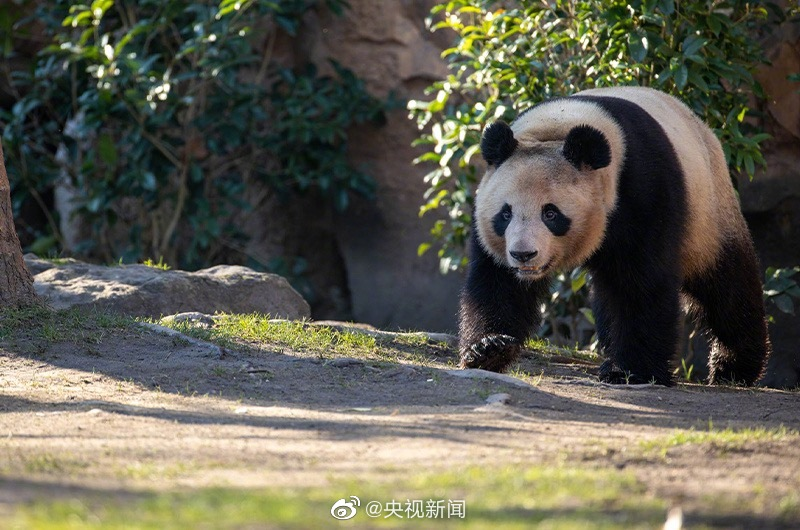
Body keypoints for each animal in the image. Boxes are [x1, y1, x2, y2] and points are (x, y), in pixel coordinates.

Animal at [460, 85, 772, 384]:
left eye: (550, 214)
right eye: (505, 214)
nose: (523, 255)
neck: (556, 128)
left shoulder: (642, 191)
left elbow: (641, 281)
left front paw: (631, 371)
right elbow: (497, 282)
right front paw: (489, 348)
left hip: (708, 214)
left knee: (727, 287)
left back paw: (734, 367)